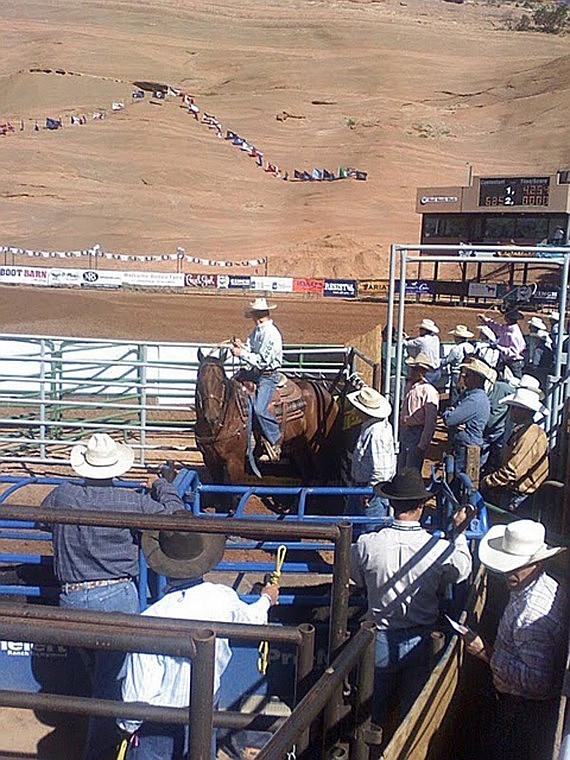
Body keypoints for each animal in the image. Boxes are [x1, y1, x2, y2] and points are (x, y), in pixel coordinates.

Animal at [193, 348, 340, 484]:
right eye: (199, 380)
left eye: (222, 381)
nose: (212, 416)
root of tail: (328, 395)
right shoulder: (211, 461)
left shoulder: (234, 462)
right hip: (299, 443)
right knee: (307, 472)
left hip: (316, 445)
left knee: (322, 473)